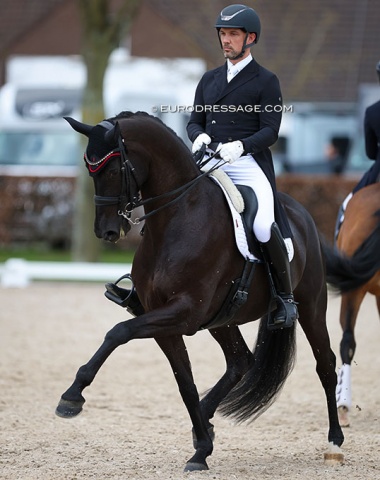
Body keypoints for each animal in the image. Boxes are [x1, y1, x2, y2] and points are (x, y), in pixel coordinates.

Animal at [55, 110, 344, 470]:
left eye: (111, 169)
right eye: (89, 170)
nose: (106, 231)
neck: (176, 218)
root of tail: (300, 212)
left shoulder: (184, 312)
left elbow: (118, 332)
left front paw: (72, 396)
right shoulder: (166, 320)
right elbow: (186, 384)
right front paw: (202, 449)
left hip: (311, 304)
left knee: (325, 363)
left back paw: (335, 441)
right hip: (223, 319)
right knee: (240, 361)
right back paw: (204, 421)